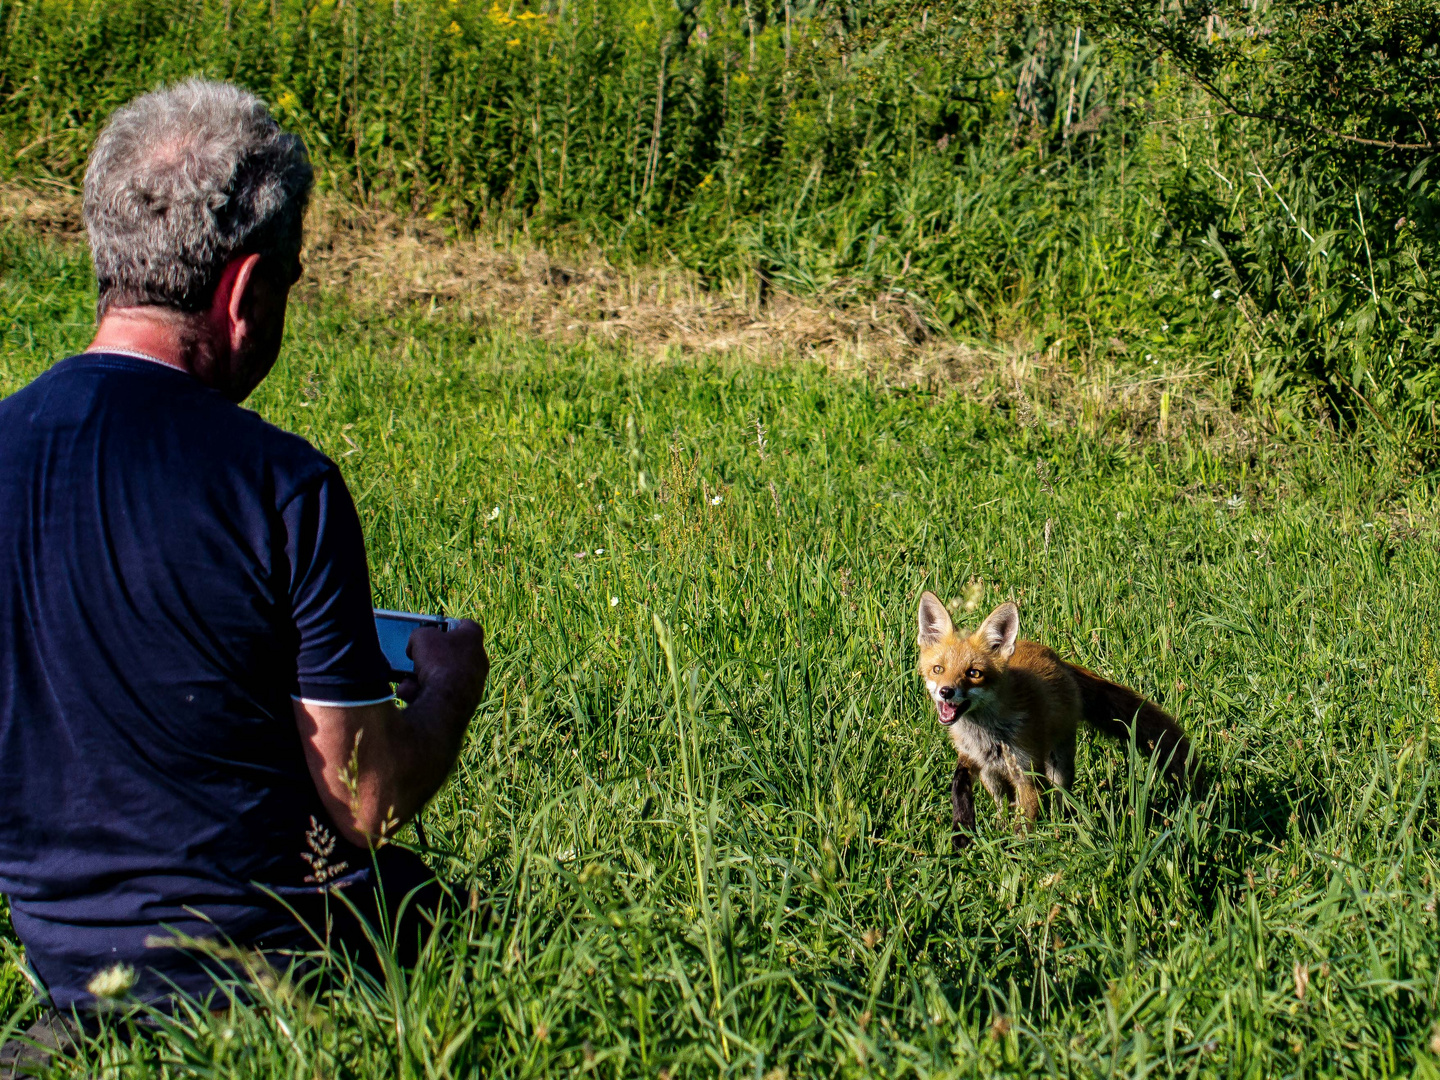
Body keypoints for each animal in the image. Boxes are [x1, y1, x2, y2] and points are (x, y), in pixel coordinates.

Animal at [921, 593, 1203, 852]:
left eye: (974, 673)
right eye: (938, 669)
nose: (946, 692)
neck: (985, 734)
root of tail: (1057, 658)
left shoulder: (1026, 771)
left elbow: (1025, 821)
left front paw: (1014, 857)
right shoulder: (977, 760)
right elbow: (968, 787)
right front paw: (969, 830)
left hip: (1059, 764)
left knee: (1058, 799)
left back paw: (1059, 830)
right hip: (997, 776)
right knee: (1004, 803)